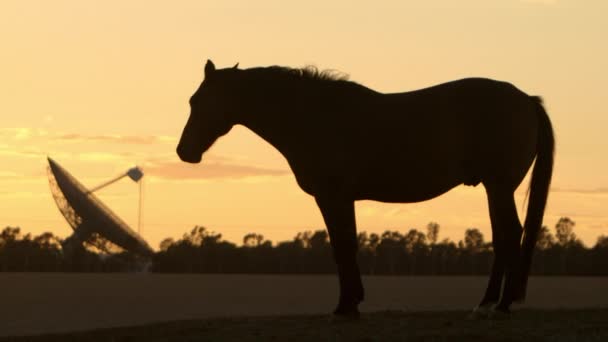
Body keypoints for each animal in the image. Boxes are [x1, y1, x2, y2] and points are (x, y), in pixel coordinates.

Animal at [177, 59, 556, 318]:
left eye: (201, 102)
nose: (184, 152)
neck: (314, 116)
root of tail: (526, 100)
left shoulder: (333, 197)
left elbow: (342, 247)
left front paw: (345, 306)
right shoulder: (342, 199)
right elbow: (347, 245)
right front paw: (352, 303)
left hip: (499, 186)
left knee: (511, 234)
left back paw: (501, 304)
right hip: (495, 188)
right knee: (503, 237)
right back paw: (487, 302)